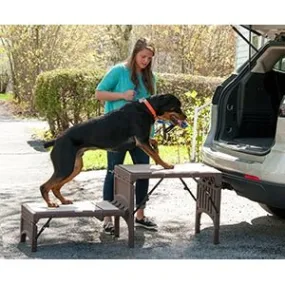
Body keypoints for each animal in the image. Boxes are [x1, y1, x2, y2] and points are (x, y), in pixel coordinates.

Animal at [40, 93, 186, 206]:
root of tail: (56, 140)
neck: (146, 109)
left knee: (55, 187)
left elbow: (155, 144)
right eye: (177, 106)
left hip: (75, 168)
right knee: (45, 186)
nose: (185, 117)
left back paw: (64, 201)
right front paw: (166, 165)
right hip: (65, 168)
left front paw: (158, 153)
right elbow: (155, 154)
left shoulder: (142, 140)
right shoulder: (141, 140)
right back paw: (51, 204)